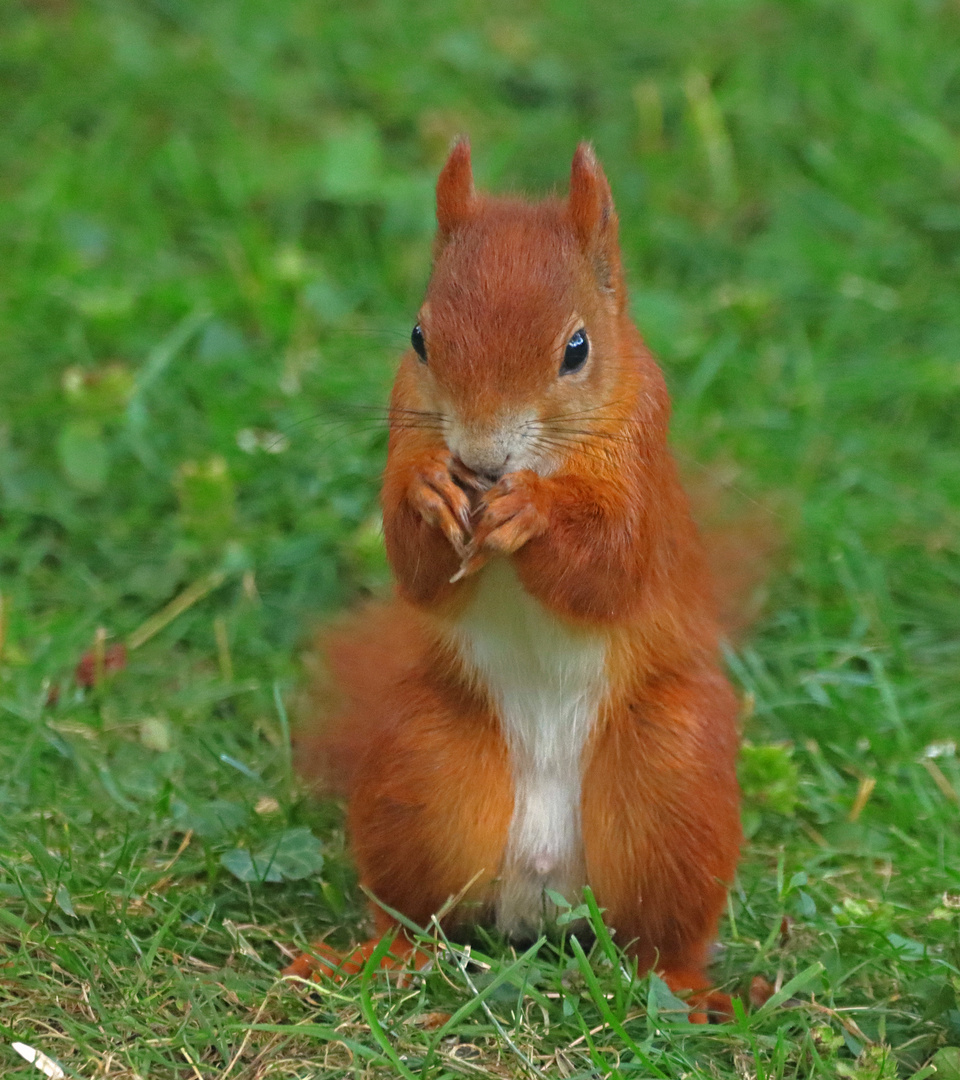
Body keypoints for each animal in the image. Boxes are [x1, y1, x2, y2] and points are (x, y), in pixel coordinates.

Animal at [289, 139, 742, 1015]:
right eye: (419, 336)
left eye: (577, 349)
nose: (481, 458)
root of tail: (544, 887)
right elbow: (417, 570)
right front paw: (430, 492)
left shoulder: (642, 468)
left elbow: (611, 569)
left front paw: (533, 511)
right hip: (424, 764)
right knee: (416, 915)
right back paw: (372, 960)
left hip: (673, 776)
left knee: (661, 936)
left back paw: (683, 985)